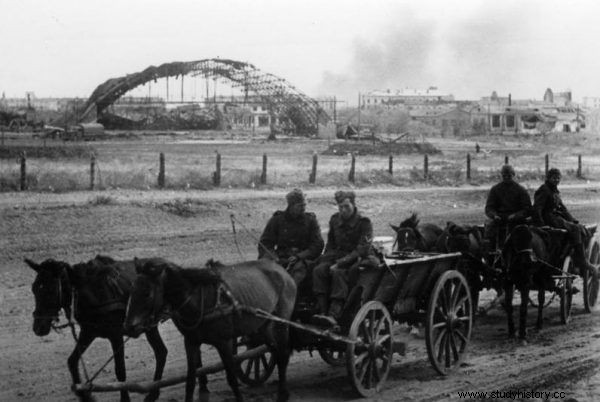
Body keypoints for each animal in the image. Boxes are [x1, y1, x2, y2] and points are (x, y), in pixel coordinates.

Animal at [24, 258, 168, 402]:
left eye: (50, 291)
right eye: (34, 288)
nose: (38, 328)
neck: (96, 293)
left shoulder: (116, 336)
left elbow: (120, 370)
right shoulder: (88, 333)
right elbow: (72, 361)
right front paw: (85, 395)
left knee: (160, 352)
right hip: (150, 327)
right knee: (161, 352)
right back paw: (153, 394)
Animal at [124, 258, 298, 402]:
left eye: (147, 293)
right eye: (131, 290)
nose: (129, 327)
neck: (200, 302)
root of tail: (283, 271)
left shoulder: (224, 343)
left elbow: (232, 379)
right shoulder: (191, 342)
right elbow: (190, 381)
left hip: (281, 324)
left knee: (283, 354)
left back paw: (282, 393)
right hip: (263, 327)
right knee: (276, 352)